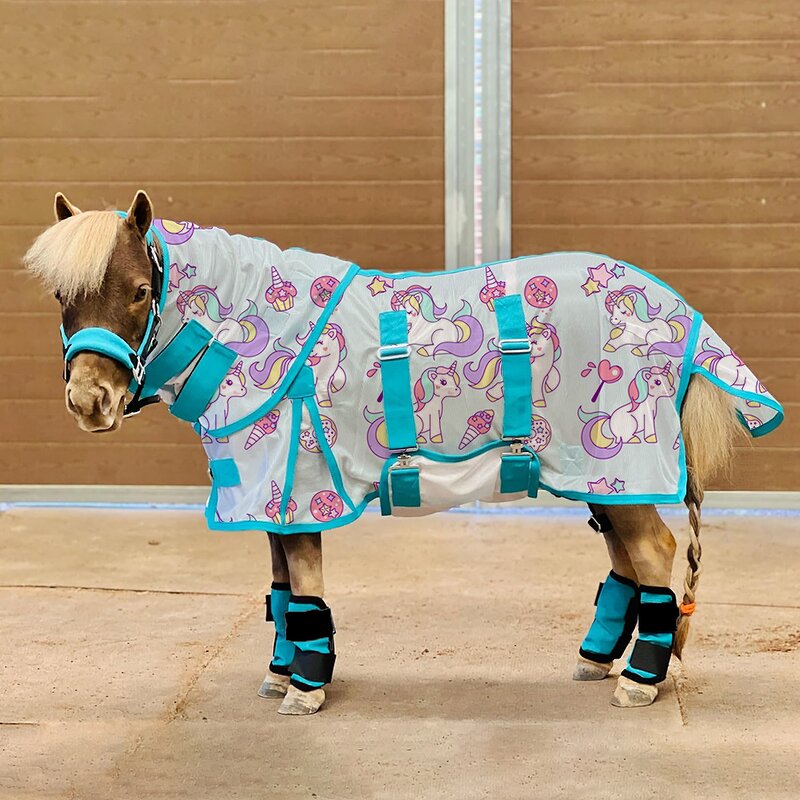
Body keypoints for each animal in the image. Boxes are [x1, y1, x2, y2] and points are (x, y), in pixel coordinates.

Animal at [23, 190, 783, 716]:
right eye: (62, 294)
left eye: (140, 291)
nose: (91, 402)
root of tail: (681, 317)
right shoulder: (269, 491)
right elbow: (279, 586)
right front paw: (278, 674)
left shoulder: (301, 485)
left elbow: (303, 586)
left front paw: (306, 689)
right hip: (601, 477)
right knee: (627, 558)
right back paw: (597, 661)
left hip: (621, 465)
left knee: (654, 551)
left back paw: (638, 682)